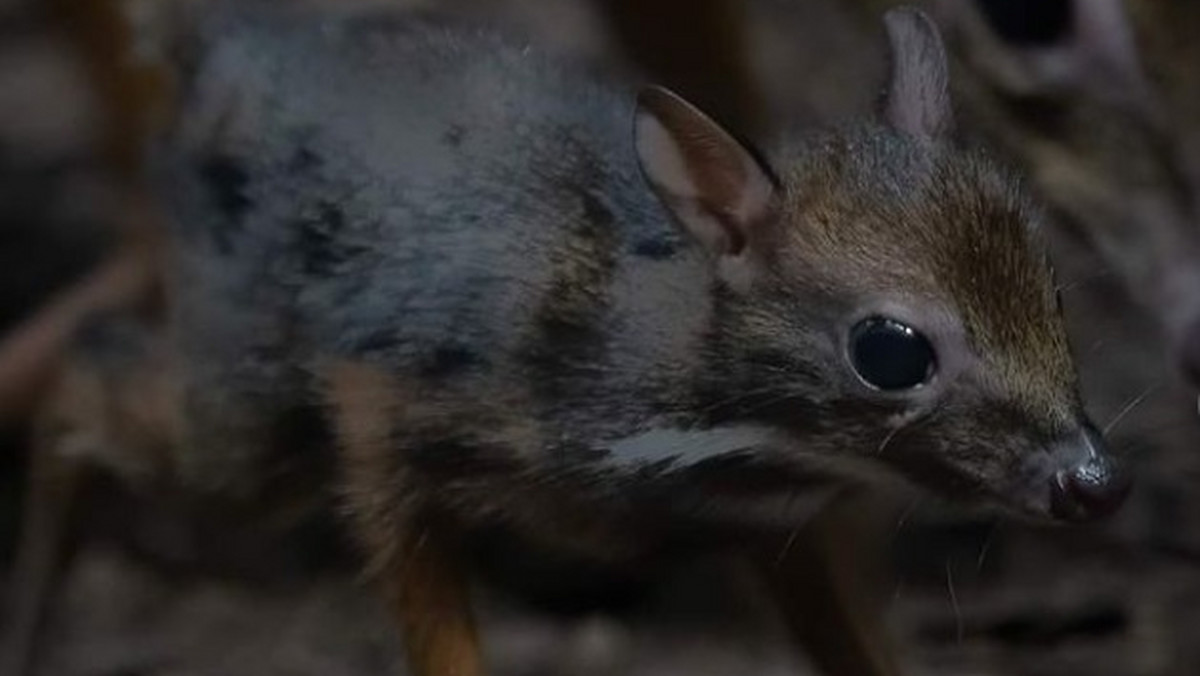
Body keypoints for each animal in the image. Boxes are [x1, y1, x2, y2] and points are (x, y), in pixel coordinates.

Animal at [0, 2, 1128, 672]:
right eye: (892, 350)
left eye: (1051, 290)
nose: (1089, 480)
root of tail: (217, 47)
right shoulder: (383, 407)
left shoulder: (764, 526)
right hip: (244, 414)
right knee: (91, 364)